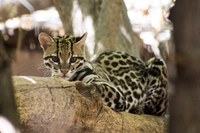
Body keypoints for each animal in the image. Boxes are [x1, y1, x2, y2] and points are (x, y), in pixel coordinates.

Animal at [38, 32, 168, 115]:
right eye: (55, 58)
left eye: (73, 59)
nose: (64, 71)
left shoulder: (115, 91)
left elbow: (97, 87)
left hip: (157, 62)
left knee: (153, 109)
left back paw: (138, 108)